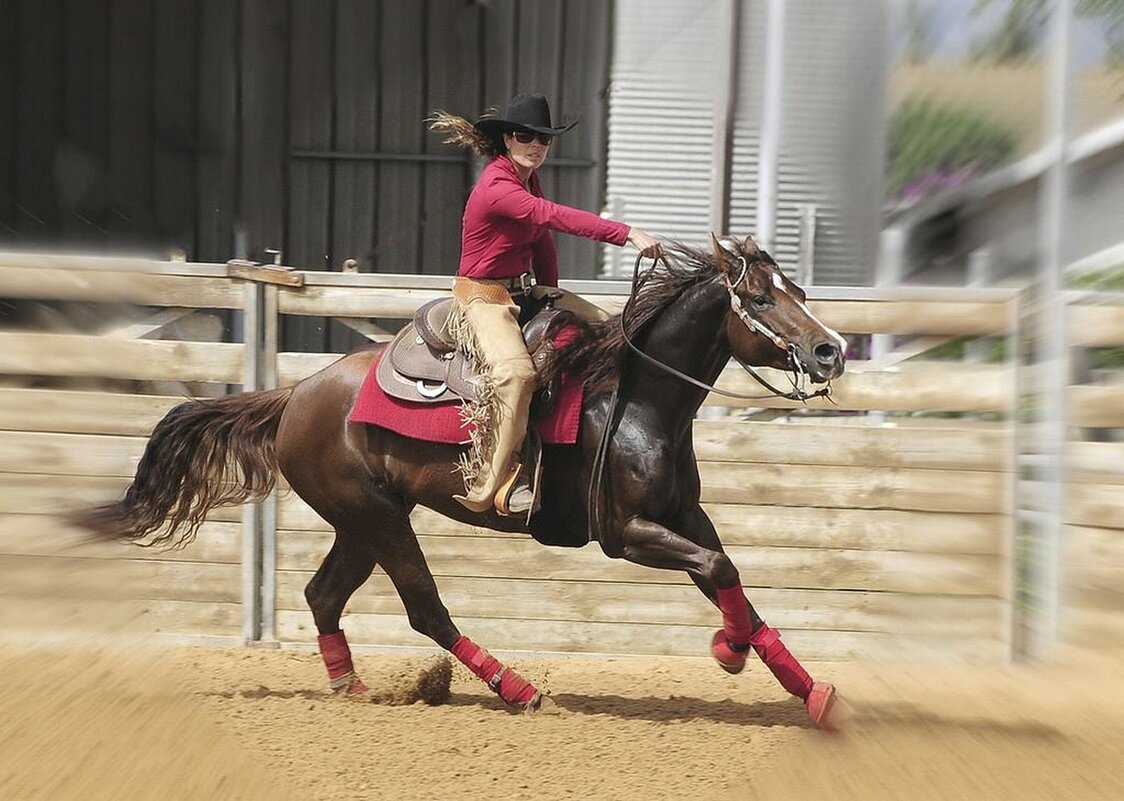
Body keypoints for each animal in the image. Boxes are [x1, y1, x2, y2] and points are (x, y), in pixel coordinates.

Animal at [74, 232, 845, 732]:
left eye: (799, 290)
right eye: (759, 299)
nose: (829, 349)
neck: (636, 398)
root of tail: (294, 394)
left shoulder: (684, 517)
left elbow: (729, 576)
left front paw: (810, 693)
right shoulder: (626, 534)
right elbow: (720, 570)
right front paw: (728, 652)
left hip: (363, 521)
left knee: (324, 595)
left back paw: (352, 689)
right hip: (380, 520)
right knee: (426, 610)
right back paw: (519, 689)